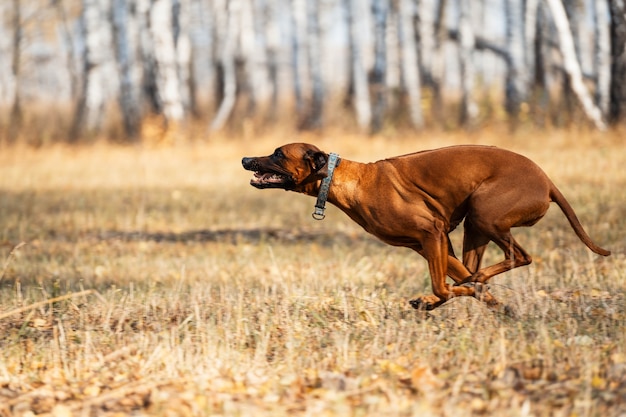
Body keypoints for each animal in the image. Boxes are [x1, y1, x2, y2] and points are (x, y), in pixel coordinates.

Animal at [240, 143, 608, 308]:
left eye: (277, 153)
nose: (245, 159)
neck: (351, 180)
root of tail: (547, 182)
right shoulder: (429, 244)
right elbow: (457, 284)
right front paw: (490, 302)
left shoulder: (432, 234)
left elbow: (442, 286)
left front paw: (435, 299)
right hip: (474, 229)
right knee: (476, 270)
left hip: (484, 212)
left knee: (520, 257)